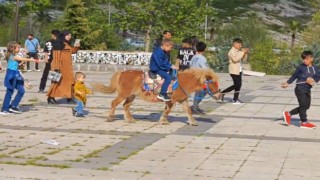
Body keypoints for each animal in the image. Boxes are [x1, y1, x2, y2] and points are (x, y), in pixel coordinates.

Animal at [91, 68, 219, 126]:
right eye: (213, 83)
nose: (219, 95)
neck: (182, 82)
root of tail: (122, 73)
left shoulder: (183, 99)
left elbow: (188, 110)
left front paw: (193, 122)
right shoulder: (170, 100)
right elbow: (167, 111)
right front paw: (163, 121)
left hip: (131, 96)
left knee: (126, 106)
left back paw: (130, 119)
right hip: (124, 94)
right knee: (114, 103)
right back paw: (110, 118)